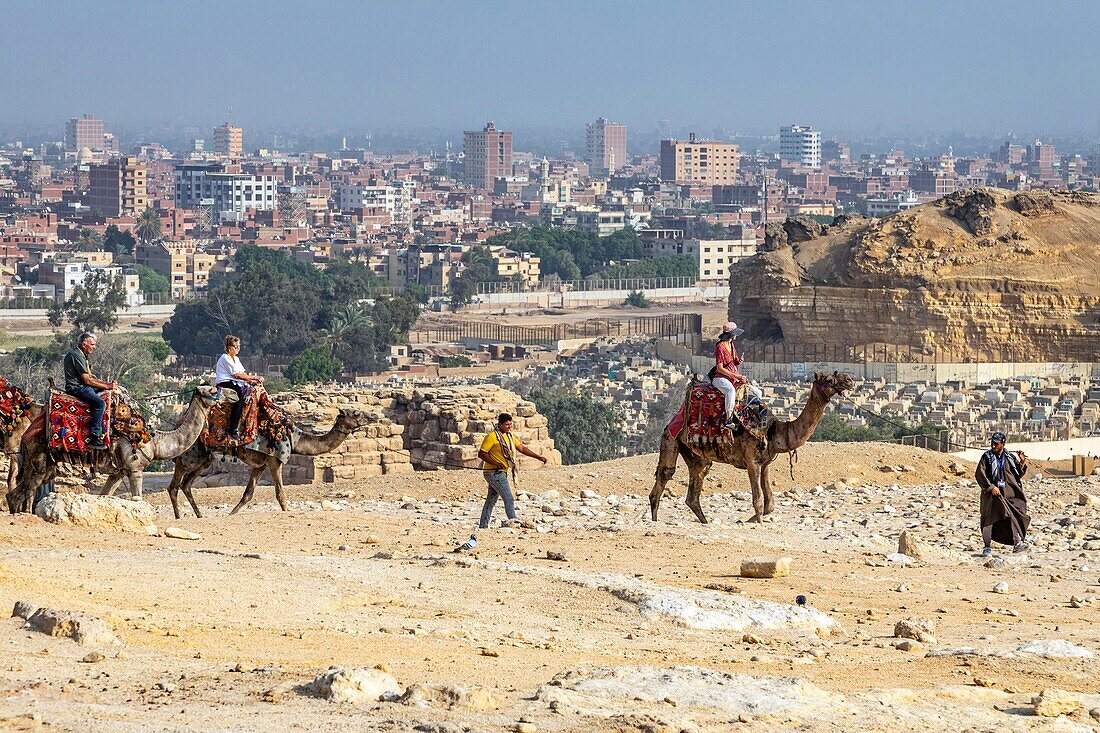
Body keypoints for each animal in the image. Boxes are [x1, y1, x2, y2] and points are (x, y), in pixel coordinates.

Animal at [5, 385, 225, 510]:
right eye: (213, 391)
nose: (229, 396)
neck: (155, 442)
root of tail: (27, 434)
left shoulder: (118, 472)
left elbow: (104, 495)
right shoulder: (135, 469)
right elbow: (137, 498)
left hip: (41, 464)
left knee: (19, 492)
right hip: (38, 460)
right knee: (24, 490)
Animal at [165, 405, 374, 519]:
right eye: (355, 413)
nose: (374, 415)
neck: (295, 438)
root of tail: (178, 425)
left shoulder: (260, 465)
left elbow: (247, 495)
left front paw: (230, 514)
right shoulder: (275, 460)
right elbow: (280, 494)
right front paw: (287, 512)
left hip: (204, 459)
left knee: (186, 484)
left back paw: (199, 515)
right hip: (189, 454)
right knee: (174, 486)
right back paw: (179, 517)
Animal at [646, 374, 853, 521]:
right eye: (828, 379)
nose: (849, 380)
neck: (773, 431)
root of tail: (675, 417)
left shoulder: (765, 463)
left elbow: (770, 504)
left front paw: (749, 520)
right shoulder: (752, 461)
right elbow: (759, 501)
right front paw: (755, 521)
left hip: (695, 453)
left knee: (696, 483)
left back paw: (705, 521)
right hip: (671, 438)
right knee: (665, 475)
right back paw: (655, 520)